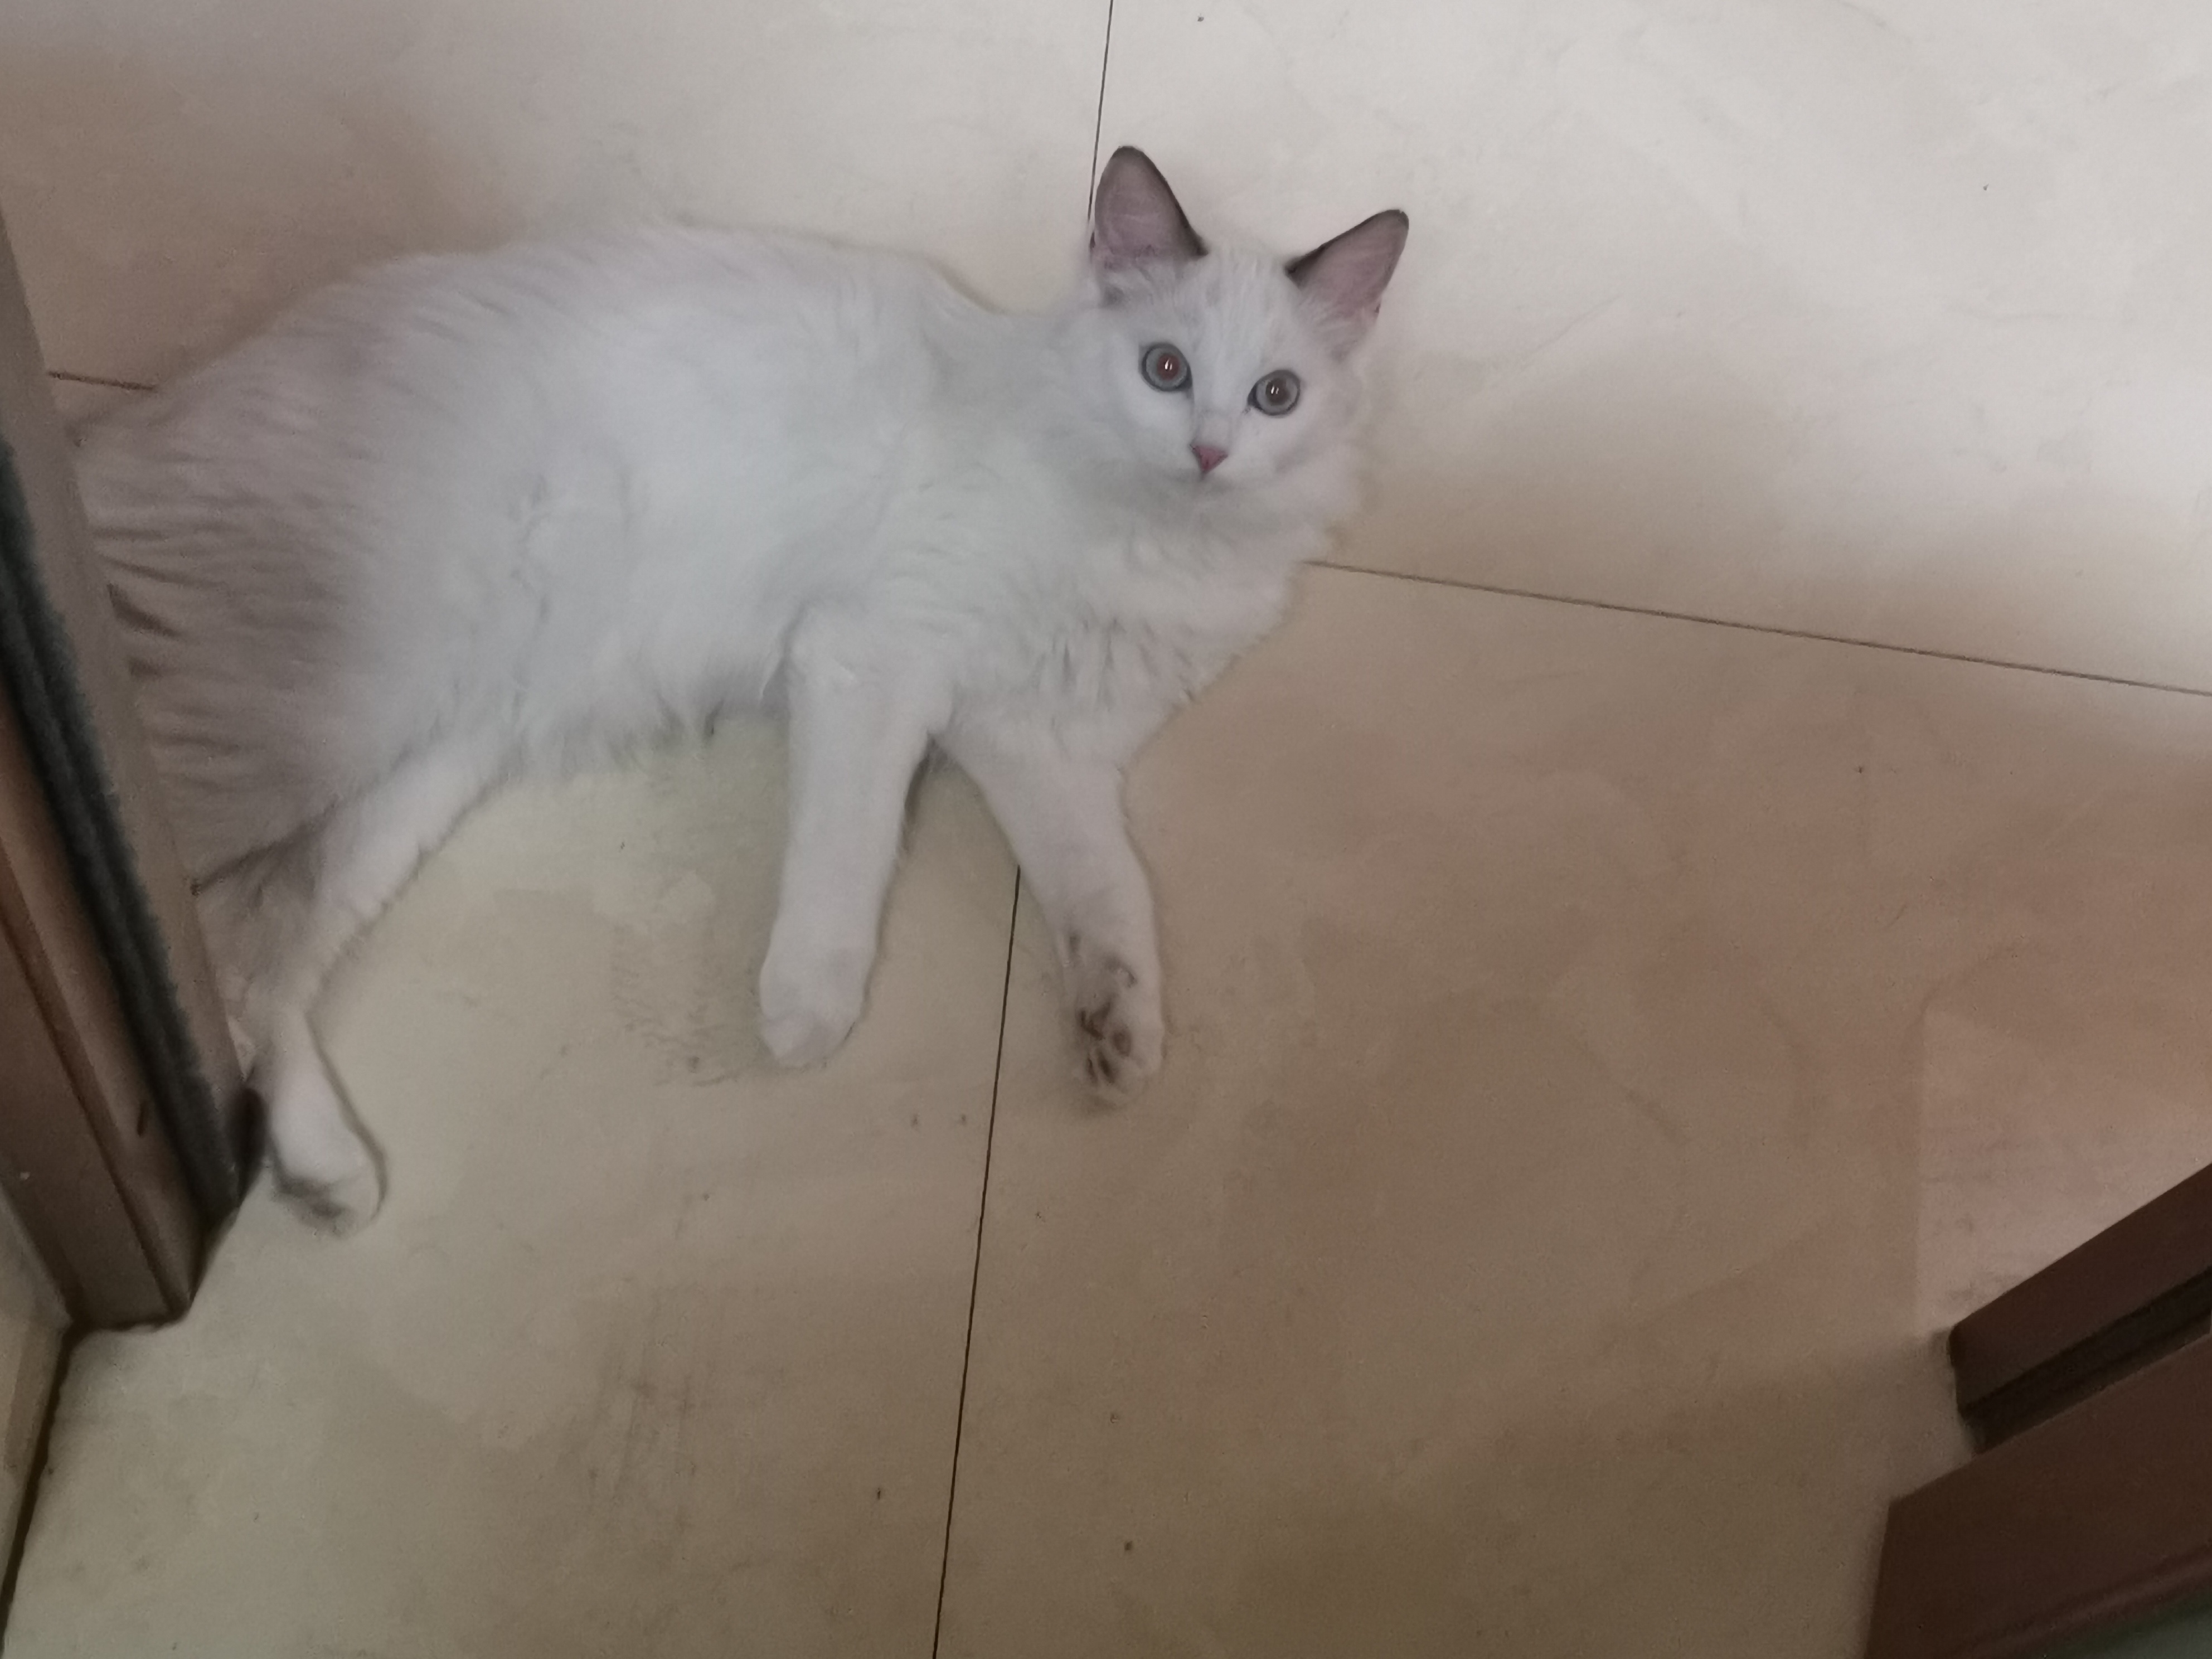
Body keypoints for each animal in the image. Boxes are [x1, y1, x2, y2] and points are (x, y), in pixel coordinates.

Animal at [78, 147, 1409, 1232]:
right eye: (1164, 368)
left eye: (1277, 396)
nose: (1209, 454)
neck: (1141, 532)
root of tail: (128, 434)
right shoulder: (874, 657)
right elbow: (845, 864)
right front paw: (805, 1014)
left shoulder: (1044, 747)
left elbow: (1108, 896)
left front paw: (1118, 1034)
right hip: (301, 725)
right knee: (197, 925)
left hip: (410, 767)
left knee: (244, 965)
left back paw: (324, 1173)